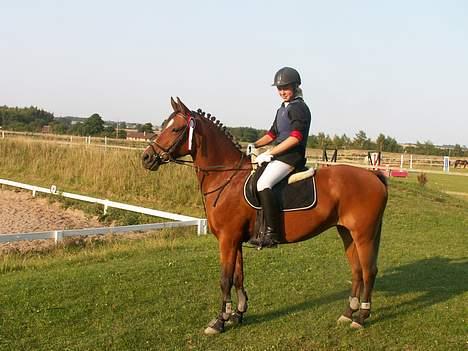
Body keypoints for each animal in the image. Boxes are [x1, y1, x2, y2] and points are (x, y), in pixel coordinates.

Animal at [142, 97, 388, 334]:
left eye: (175, 129)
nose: (146, 158)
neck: (226, 178)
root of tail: (373, 176)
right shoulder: (235, 240)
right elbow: (238, 276)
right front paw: (237, 314)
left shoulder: (227, 239)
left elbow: (225, 279)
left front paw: (219, 322)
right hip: (346, 232)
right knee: (357, 270)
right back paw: (348, 313)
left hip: (363, 235)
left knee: (368, 271)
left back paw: (361, 317)